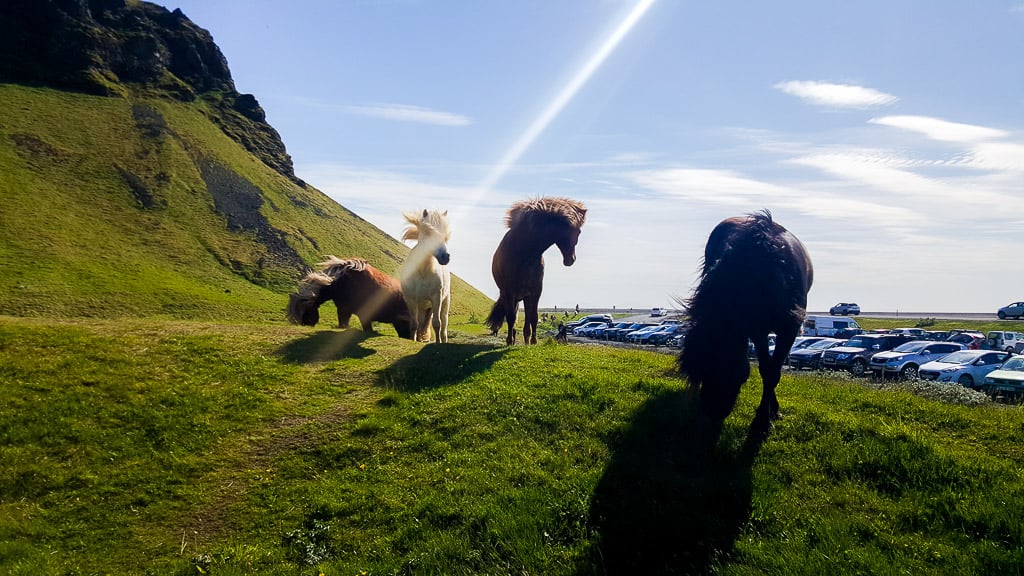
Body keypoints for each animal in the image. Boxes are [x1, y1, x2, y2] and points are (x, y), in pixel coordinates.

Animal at [485, 194, 585, 342]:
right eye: (577, 232)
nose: (571, 260)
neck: (526, 254)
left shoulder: (535, 292)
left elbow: (533, 317)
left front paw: (532, 341)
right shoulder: (510, 292)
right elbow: (511, 318)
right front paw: (510, 341)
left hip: (523, 297)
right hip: (510, 296)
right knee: (512, 317)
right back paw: (512, 338)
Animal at [679, 210, 815, 426]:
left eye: (727, 367)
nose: (713, 411)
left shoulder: (788, 329)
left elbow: (772, 372)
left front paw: (763, 420)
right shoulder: (758, 330)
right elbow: (766, 368)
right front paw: (766, 413)